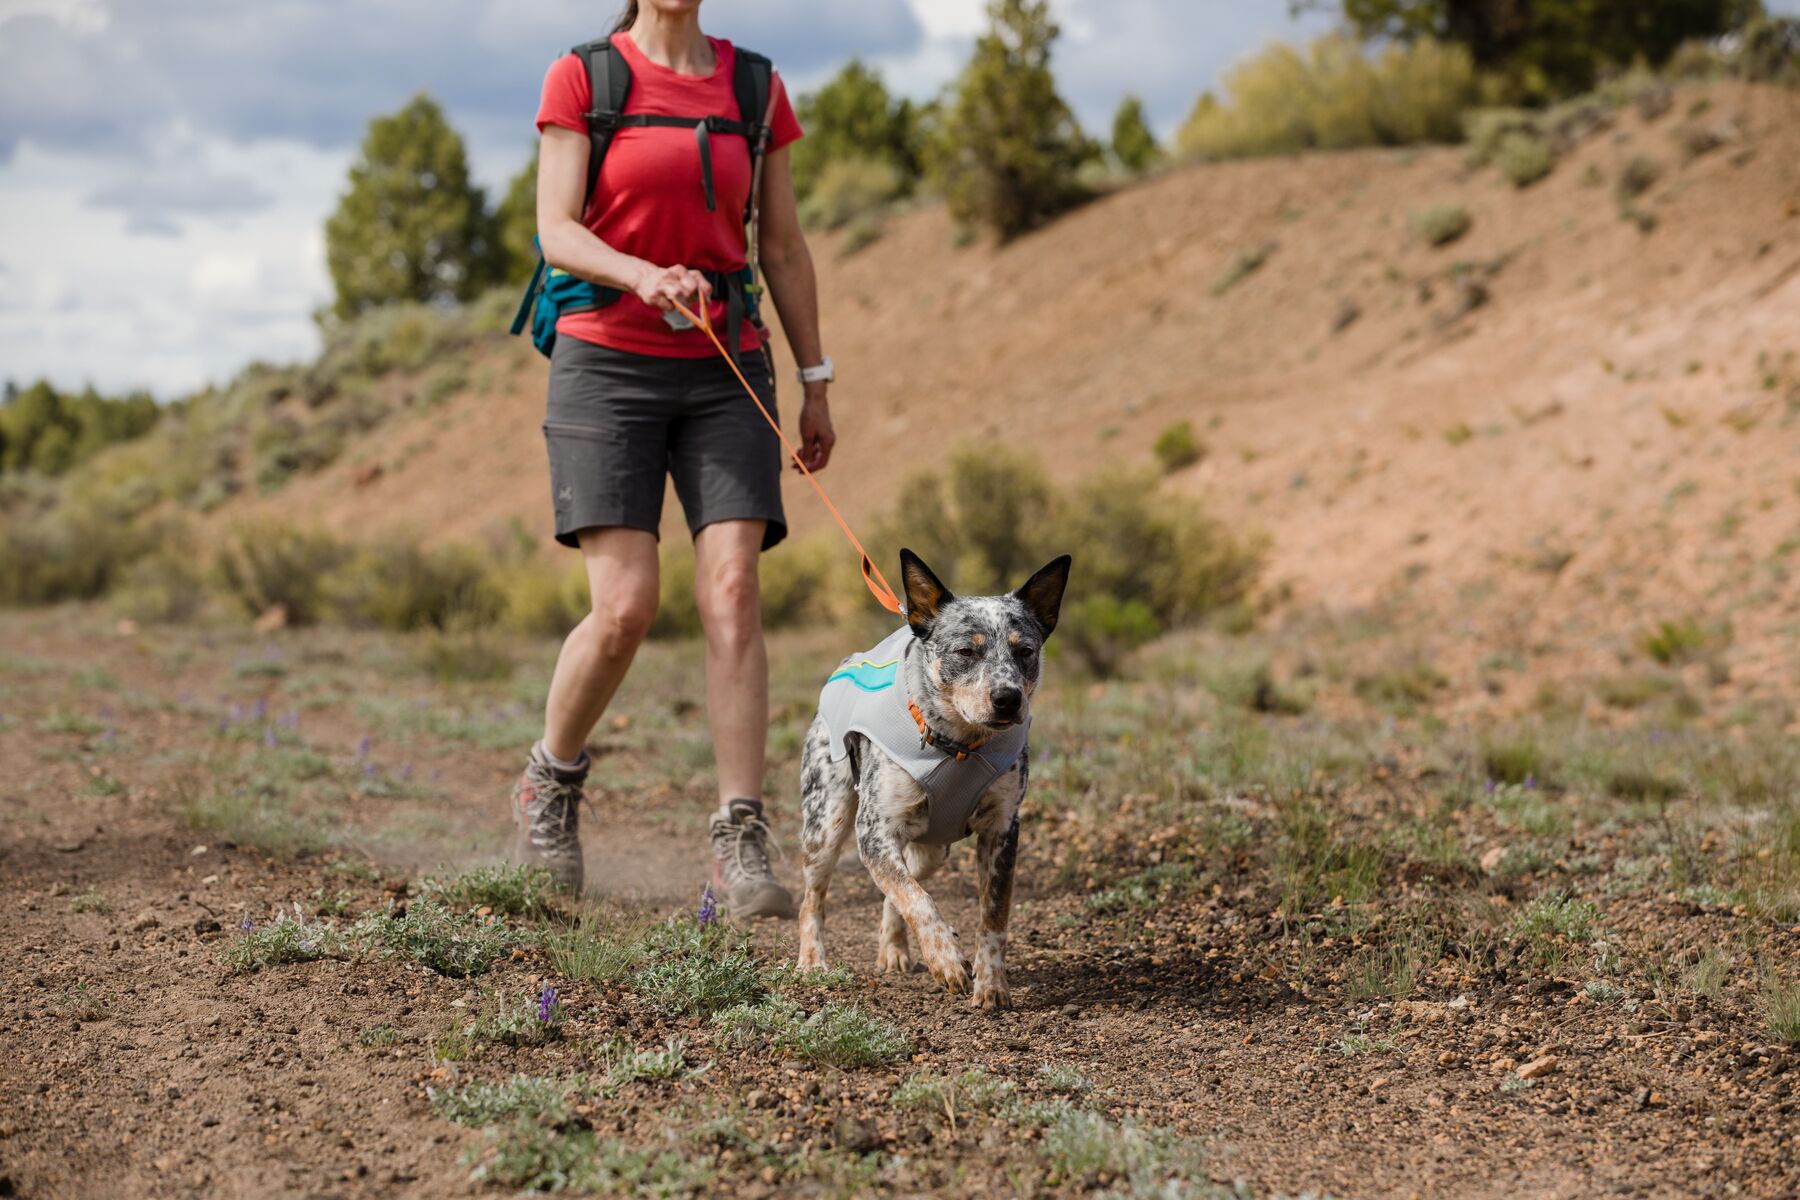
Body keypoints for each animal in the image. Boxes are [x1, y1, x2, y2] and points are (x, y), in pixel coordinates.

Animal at [792, 550, 1065, 1007]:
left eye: (1025, 651)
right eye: (966, 651)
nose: (1008, 699)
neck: (959, 746)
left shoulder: (1002, 830)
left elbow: (992, 915)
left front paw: (991, 984)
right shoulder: (874, 831)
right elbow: (916, 900)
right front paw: (946, 958)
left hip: (933, 848)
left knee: (900, 885)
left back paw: (894, 949)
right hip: (825, 824)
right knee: (815, 898)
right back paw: (813, 962)